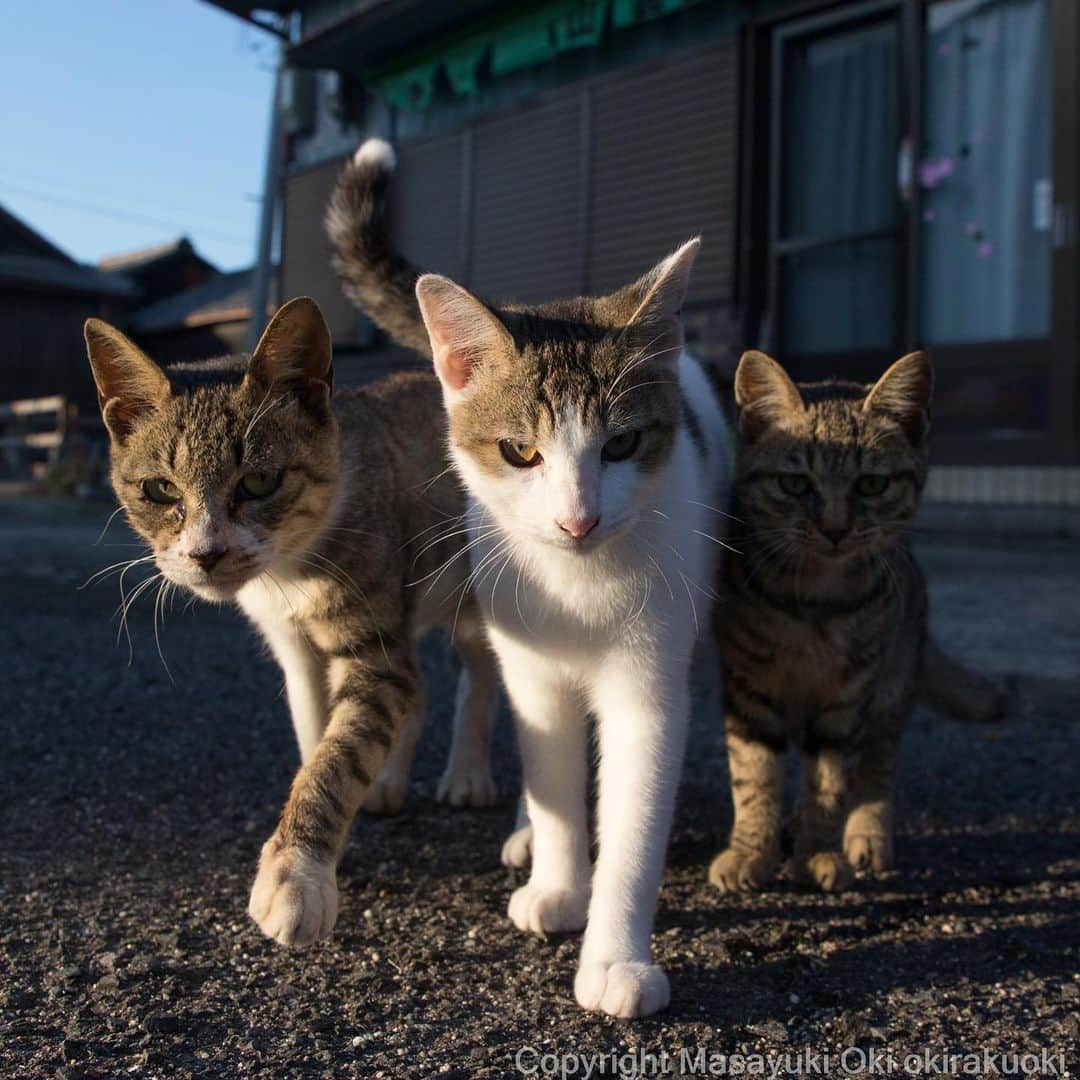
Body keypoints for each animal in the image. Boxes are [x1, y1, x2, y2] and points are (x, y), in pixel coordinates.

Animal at [83, 298, 496, 946]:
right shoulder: (295, 650)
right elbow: (317, 735)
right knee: (421, 686)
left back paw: (471, 778)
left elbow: (340, 753)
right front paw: (321, 848)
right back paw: (388, 783)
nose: (206, 553)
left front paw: (295, 877)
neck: (290, 571)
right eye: (159, 489)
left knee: (479, 674)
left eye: (259, 481)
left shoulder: (371, 639)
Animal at [324, 139, 730, 1015]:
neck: (579, 587)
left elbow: (634, 812)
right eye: (519, 452)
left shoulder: (652, 677)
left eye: (622, 444)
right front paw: (558, 882)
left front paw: (616, 957)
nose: (578, 520)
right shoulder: (533, 668)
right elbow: (551, 771)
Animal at [708, 352, 1002, 894]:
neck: (814, 602)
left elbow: (830, 782)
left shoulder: (848, 697)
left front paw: (817, 855)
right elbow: (755, 775)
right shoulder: (748, 686)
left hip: (891, 688)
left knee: (878, 765)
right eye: (795, 484)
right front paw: (751, 852)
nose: (836, 529)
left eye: (871, 483)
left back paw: (868, 837)